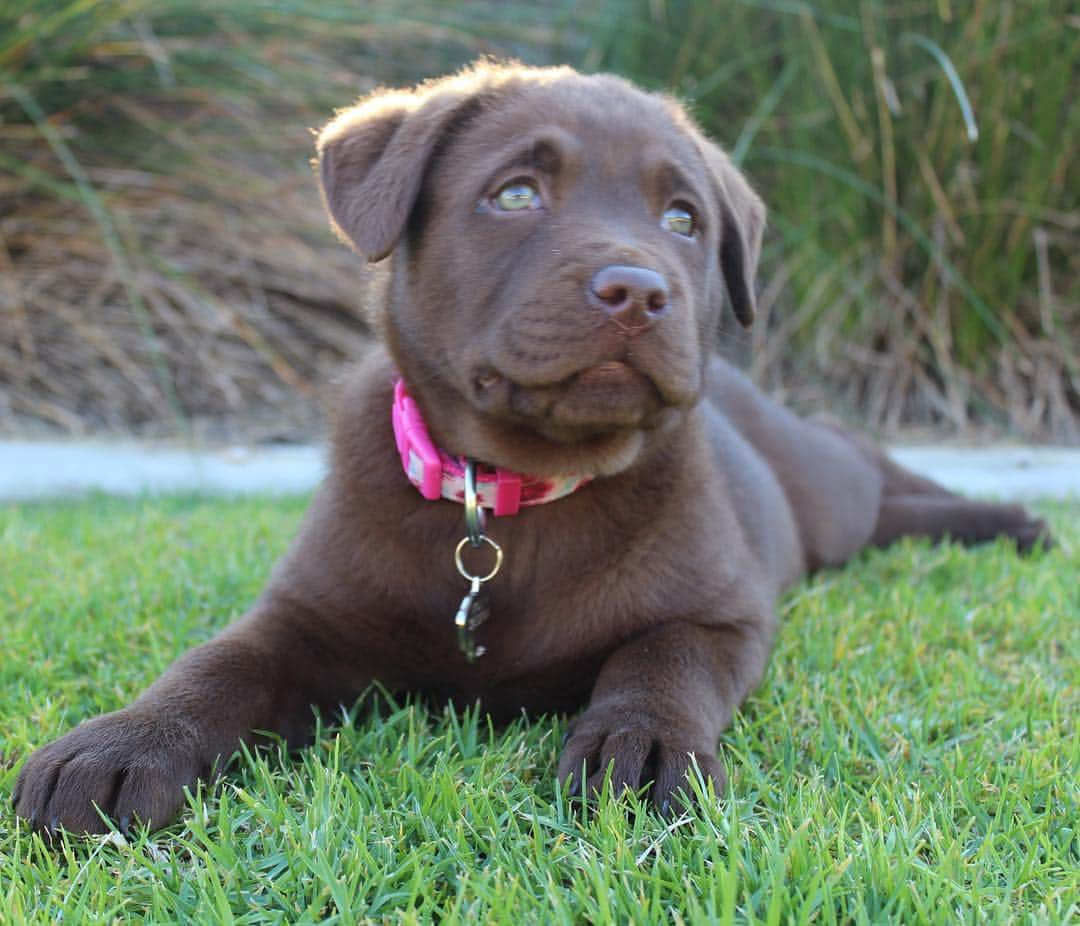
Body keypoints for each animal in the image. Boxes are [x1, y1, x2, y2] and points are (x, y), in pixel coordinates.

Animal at [12, 63, 1049, 829]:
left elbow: (660, 663)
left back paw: (1014, 519)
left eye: (683, 219)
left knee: (870, 474)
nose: (639, 290)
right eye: (515, 194)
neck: (514, 489)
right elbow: (215, 664)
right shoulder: (302, 616)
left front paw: (643, 748)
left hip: (818, 484)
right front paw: (120, 745)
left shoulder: (721, 614)